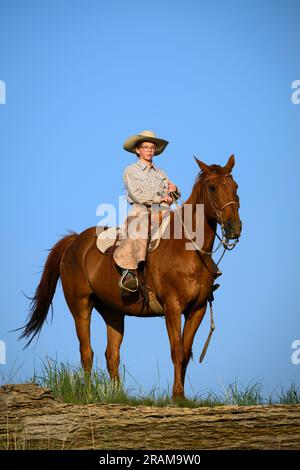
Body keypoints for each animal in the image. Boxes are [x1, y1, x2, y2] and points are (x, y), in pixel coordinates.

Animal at [20, 156, 241, 398]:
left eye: (235, 187)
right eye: (212, 187)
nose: (234, 228)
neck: (186, 248)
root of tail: (75, 241)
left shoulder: (197, 309)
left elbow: (186, 352)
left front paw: (181, 395)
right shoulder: (172, 307)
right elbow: (176, 351)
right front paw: (176, 396)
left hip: (113, 312)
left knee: (111, 355)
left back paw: (117, 395)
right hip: (80, 307)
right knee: (86, 352)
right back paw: (89, 393)